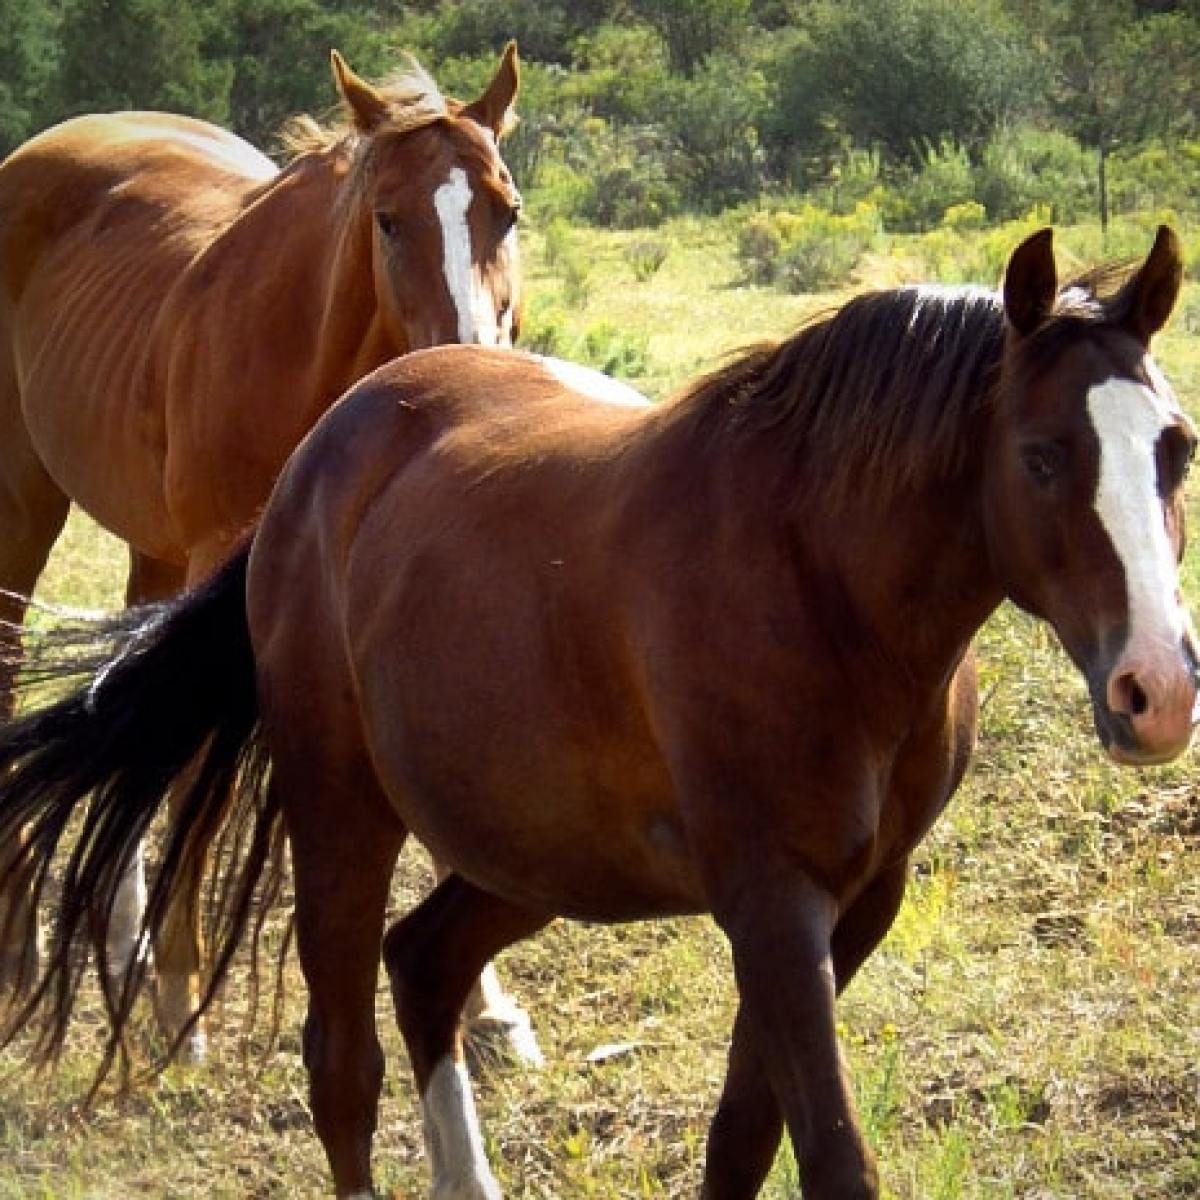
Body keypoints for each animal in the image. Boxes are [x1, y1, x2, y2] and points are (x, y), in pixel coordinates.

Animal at [0, 43, 536, 1065]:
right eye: (387, 218)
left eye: (509, 209)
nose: (472, 358)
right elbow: (201, 791)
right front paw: (180, 994)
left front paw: (483, 1004)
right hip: (27, 502)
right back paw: (36, 938)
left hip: (155, 551)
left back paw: (121, 938)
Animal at [0, 226, 1193, 1199]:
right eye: (1043, 457)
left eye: (1175, 447)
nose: (1159, 691)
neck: (817, 582)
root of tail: (315, 464)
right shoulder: (772, 904)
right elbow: (829, 1159)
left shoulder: (856, 903)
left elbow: (743, 1140)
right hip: (344, 816)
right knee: (343, 1065)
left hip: (531, 853)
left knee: (424, 965)